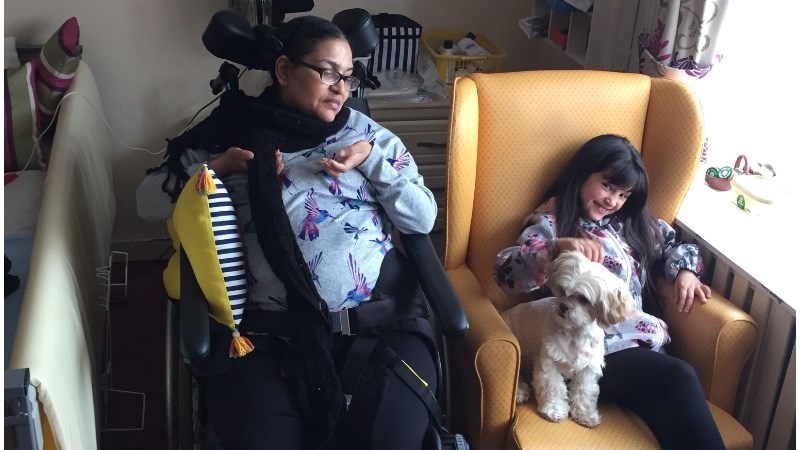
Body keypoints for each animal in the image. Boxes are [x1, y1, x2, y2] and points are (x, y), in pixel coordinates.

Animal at [501, 250, 634, 428]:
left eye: (584, 299)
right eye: (563, 291)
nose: (563, 306)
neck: (574, 332)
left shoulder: (588, 369)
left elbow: (585, 391)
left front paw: (585, 414)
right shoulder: (549, 362)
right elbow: (554, 387)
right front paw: (554, 409)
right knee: (517, 375)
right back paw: (519, 392)